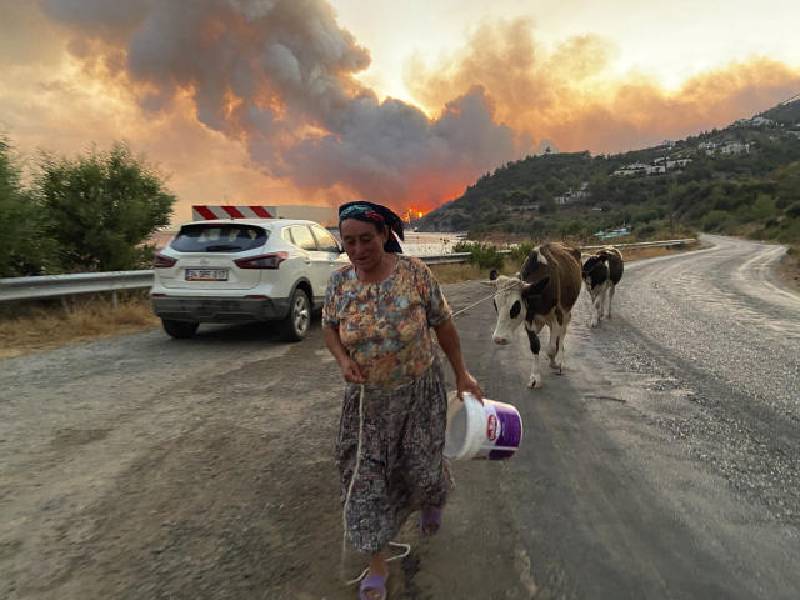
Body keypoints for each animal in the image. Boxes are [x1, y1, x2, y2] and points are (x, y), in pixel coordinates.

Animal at [484, 243, 584, 390]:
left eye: (516, 306)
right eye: (495, 304)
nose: (499, 339)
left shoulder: (558, 316)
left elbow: (551, 347)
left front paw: (554, 361)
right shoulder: (529, 319)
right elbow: (535, 345)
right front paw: (535, 378)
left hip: (567, 312)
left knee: (562, 333)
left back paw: (560, 359)